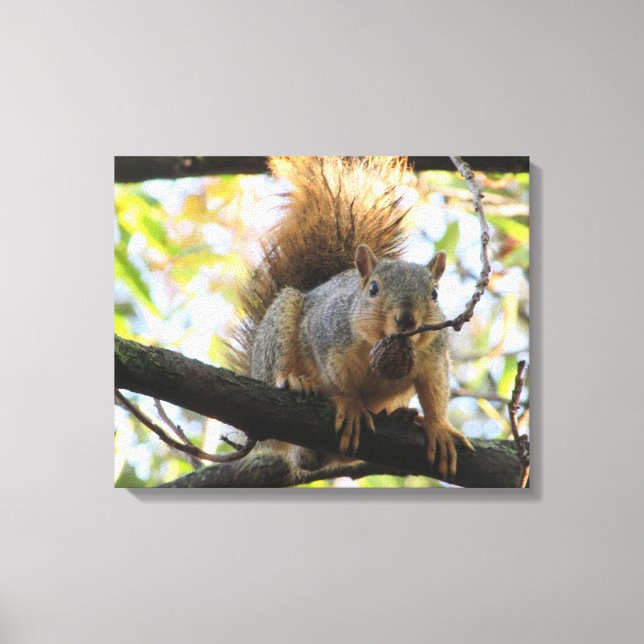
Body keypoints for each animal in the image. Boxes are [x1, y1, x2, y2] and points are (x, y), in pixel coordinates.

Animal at [230, 156, 473, 481]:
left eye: (434, 294)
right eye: (373, 288)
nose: (407, 319)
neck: (380, 344)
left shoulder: (433, 356)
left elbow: (436, 389)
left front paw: (438, 427)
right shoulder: (326, 335)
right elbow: (337, 380)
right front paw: (351, 404)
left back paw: (402, 415)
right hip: (279, 328)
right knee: (279, 368)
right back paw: (294, 382)